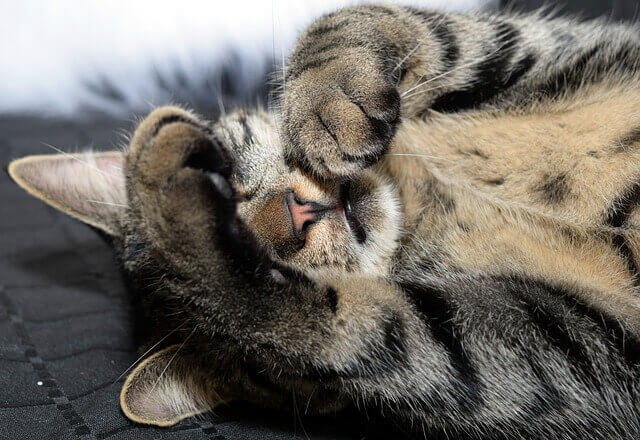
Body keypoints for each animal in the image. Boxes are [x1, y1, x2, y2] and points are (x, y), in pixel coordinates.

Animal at [7, 4, 640, 440]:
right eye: (256, 370)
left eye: (228, 177)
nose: (296, 216)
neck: (427, 200)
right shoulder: (572, 353)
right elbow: (377, 333)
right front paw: (183, 233)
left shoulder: (560, 46)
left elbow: (382, 22)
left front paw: (331, 94)